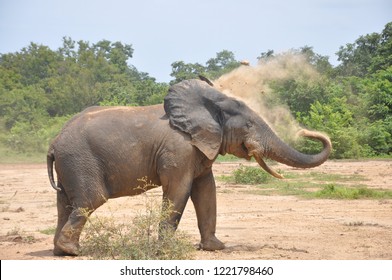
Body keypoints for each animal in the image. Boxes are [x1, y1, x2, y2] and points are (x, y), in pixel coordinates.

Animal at [47, 78, 332, 256]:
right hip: (80, 161)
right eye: (249, 125)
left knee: (66, 204)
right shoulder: (179, 149)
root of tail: (53, 143)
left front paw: (215, 247)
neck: (212, 103)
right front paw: (165, 252)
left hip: (70, 165)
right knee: (91, 200)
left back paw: (60, 251)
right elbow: (178, 190)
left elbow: (206, 190)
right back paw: (74, 251)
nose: (307, 131)